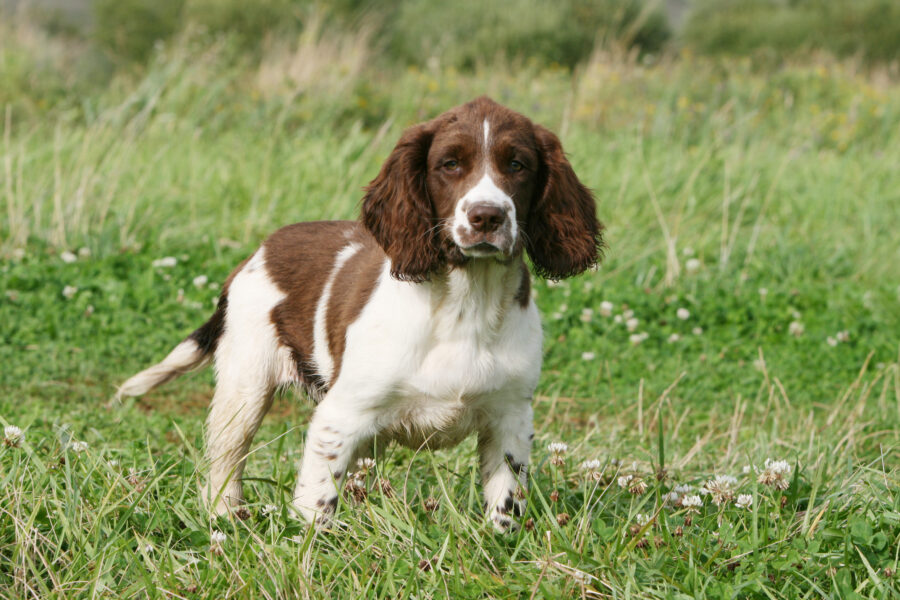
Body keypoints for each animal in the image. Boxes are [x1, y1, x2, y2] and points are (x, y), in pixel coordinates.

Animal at [116, 95, 600, 528]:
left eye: (517, 165)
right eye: (450, 164)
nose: (487, 217)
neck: (467, 302)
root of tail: (257, 252)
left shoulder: (511, 417)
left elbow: (505, 505)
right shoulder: (341, 415)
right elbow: (316, 504)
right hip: (245, 385)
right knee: (226, 461)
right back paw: (224, 519)